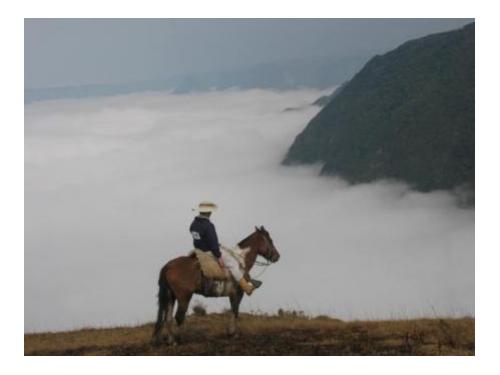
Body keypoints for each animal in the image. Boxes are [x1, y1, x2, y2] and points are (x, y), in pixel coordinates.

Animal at [150, 225, 280, 346]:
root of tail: (168, 266)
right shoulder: (237, 293)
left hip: (171, 296)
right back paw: (178, 340)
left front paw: (231, 333)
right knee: (178, 317)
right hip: (184, 297)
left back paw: (171, 340)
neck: (240, 260)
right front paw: (233, 334)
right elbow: (235, 311)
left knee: (168, 318)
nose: (277, 256)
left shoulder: (232, 295)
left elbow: (233, 311)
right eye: (270, 239)